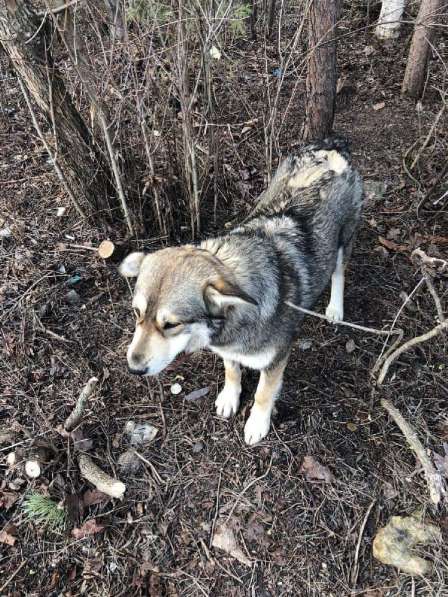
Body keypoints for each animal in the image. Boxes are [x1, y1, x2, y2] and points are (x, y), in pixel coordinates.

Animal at [120, 136, 364, 442]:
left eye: (171, 324)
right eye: (136, 313)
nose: (133, 369)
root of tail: (331, 144)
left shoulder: (276, 360)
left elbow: (263, 393)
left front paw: (257, 423)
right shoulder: (228, 351)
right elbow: (232, 371)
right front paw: (229, 397)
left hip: (344, 242)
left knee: (339, 273)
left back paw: (334, 308)